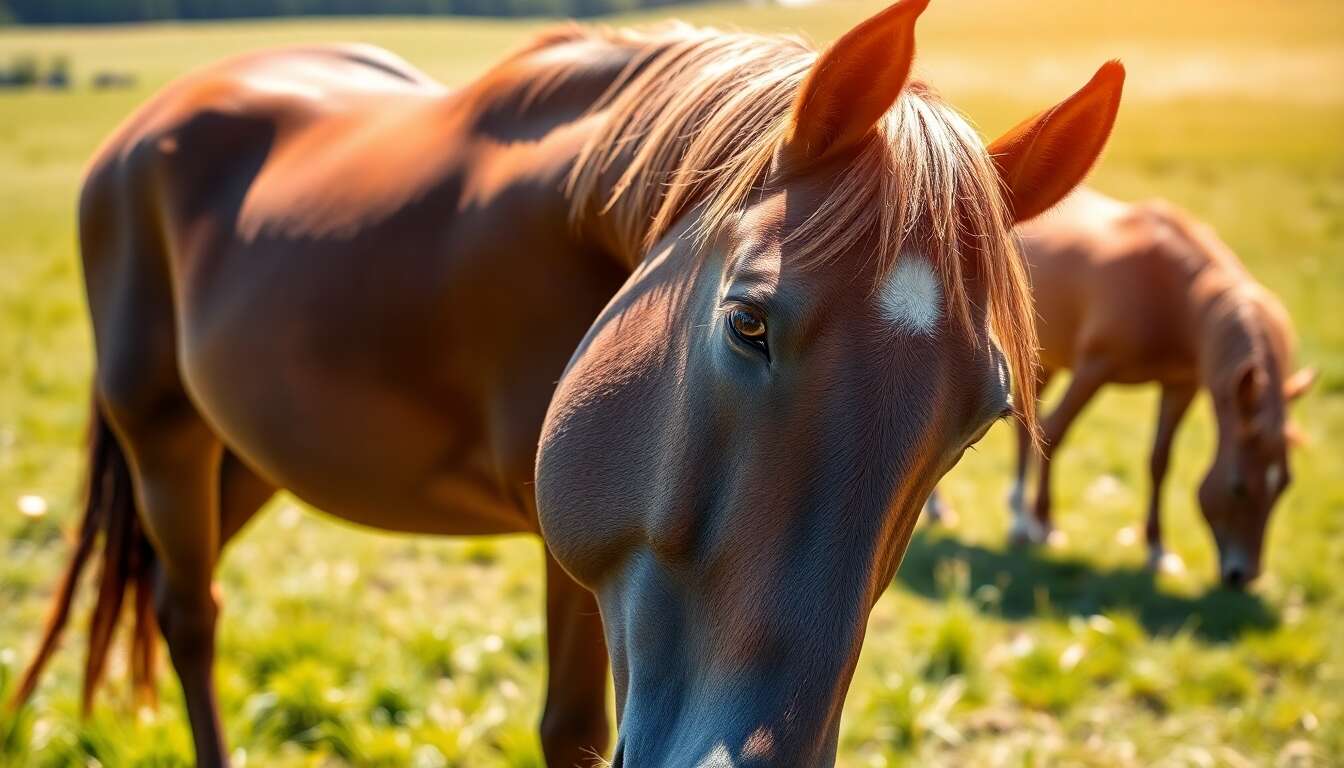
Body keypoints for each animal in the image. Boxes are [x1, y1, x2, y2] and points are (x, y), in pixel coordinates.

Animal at [11, 1, 1124, 764]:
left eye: (981, 418)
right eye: (747, 323)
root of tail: (149, 125)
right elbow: (573, 730)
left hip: (244, 454)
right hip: (163, 433)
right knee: (190, 616)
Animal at [925, 187, 1315, 588]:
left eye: (1284, 484)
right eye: (1238, 487)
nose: (1243, 576)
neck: (1176, 294)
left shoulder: (1181, 384)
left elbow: (1160, 460)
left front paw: (1157, 550)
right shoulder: (1094, 368)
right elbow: (1055, 431)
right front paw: (1044, 523)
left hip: (1043, 359)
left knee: (1020, 428)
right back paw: (966, 513)